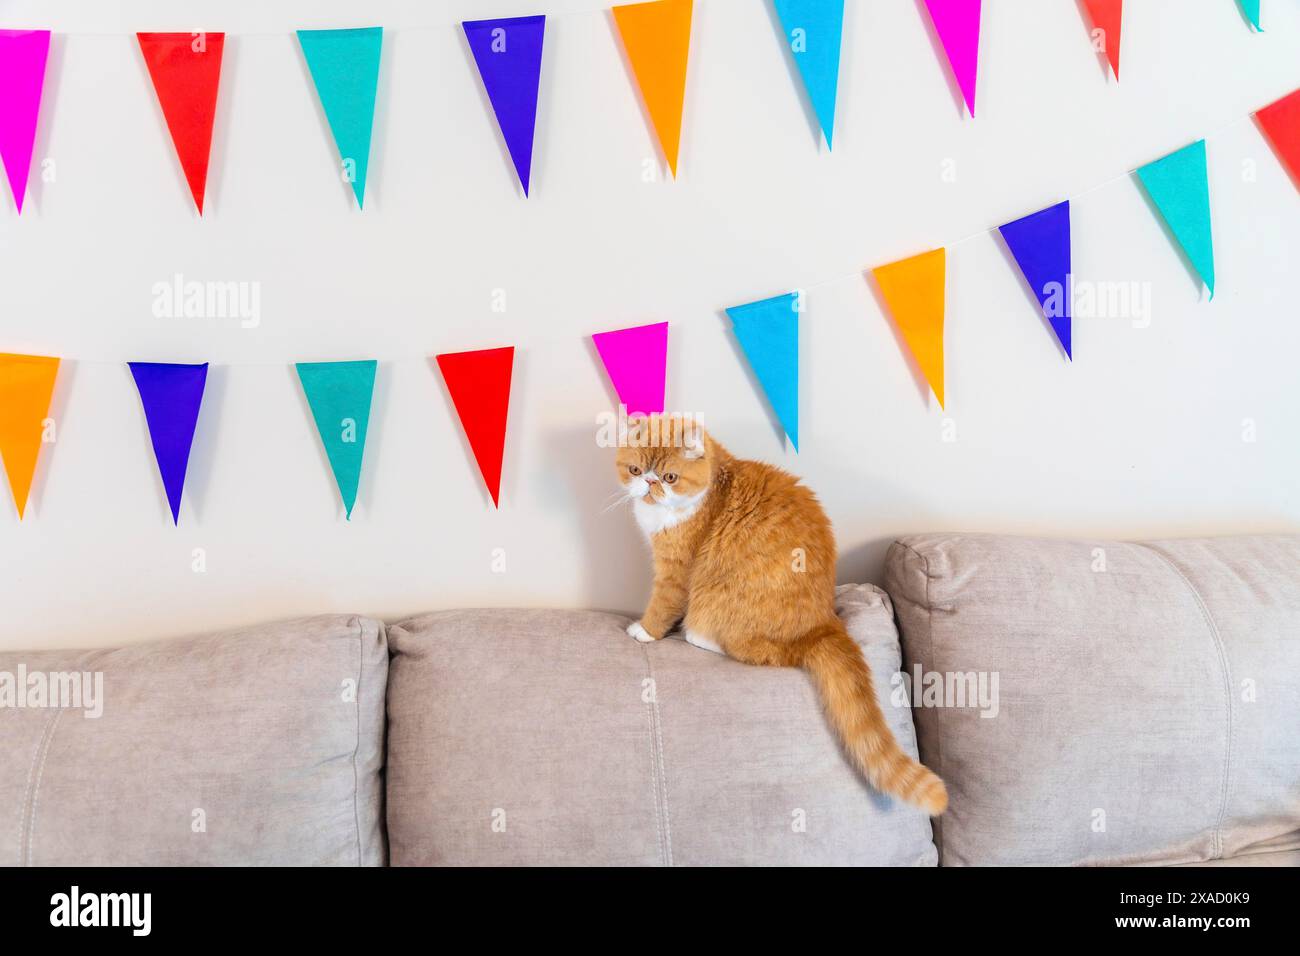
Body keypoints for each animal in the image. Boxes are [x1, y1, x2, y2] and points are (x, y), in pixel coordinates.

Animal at [613, 416, 951, 816]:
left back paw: (700, 635)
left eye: (669, 477)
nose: (649, 483)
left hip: (716, 602)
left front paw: (645, 630)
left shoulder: (676, 569)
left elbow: (663, 602)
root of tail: (823, 622)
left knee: (752, 650)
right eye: (636, 470)